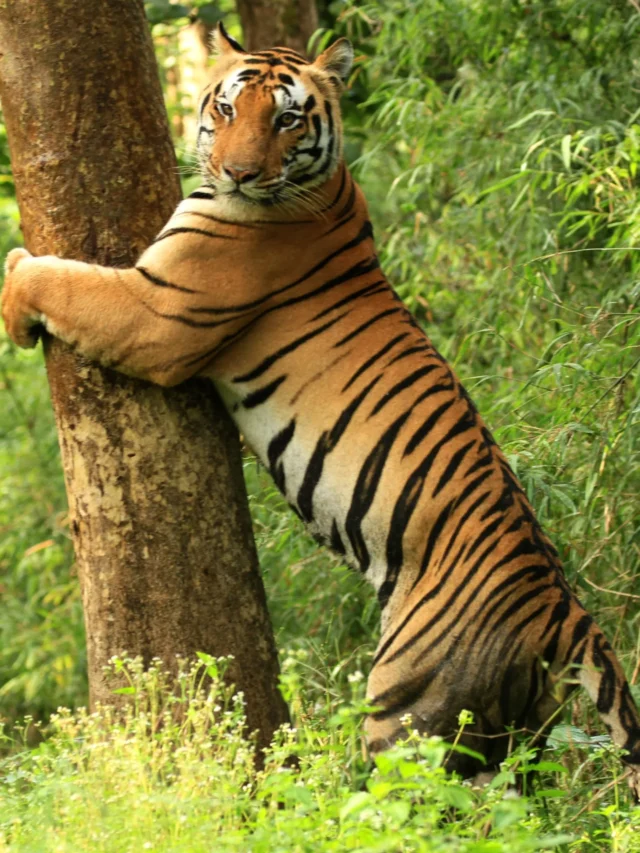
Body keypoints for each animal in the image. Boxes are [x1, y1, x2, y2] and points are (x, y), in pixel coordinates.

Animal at [1, 21, 640, 792]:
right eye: (226, 109)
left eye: (286, 119)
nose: (239, 174)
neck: (325, 186)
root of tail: (565, 610)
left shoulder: (157, 313)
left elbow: (61, 280)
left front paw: (13, 287)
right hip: (516, 738)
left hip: (408, 709)